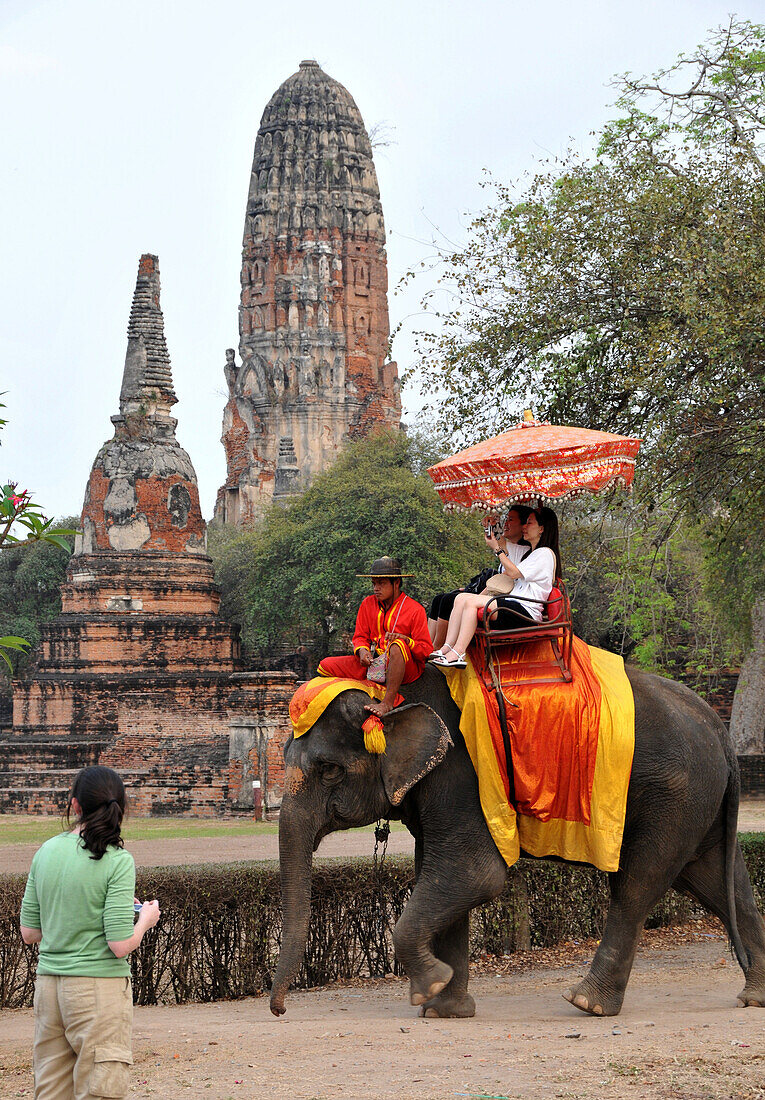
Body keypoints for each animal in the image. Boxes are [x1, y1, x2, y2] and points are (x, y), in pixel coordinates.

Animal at [270, 660, 765, 1012]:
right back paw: (754, 997)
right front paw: (446, 1007)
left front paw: (428, 989)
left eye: (328, 769)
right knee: (718, 883)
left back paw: (586, 1002)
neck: (394, 693)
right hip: (697, 802)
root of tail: (720, 729)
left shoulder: (460, 775)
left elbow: (474, 873)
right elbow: (439, 871)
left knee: (638, 885)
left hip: (673, 797)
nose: (279, 1010)